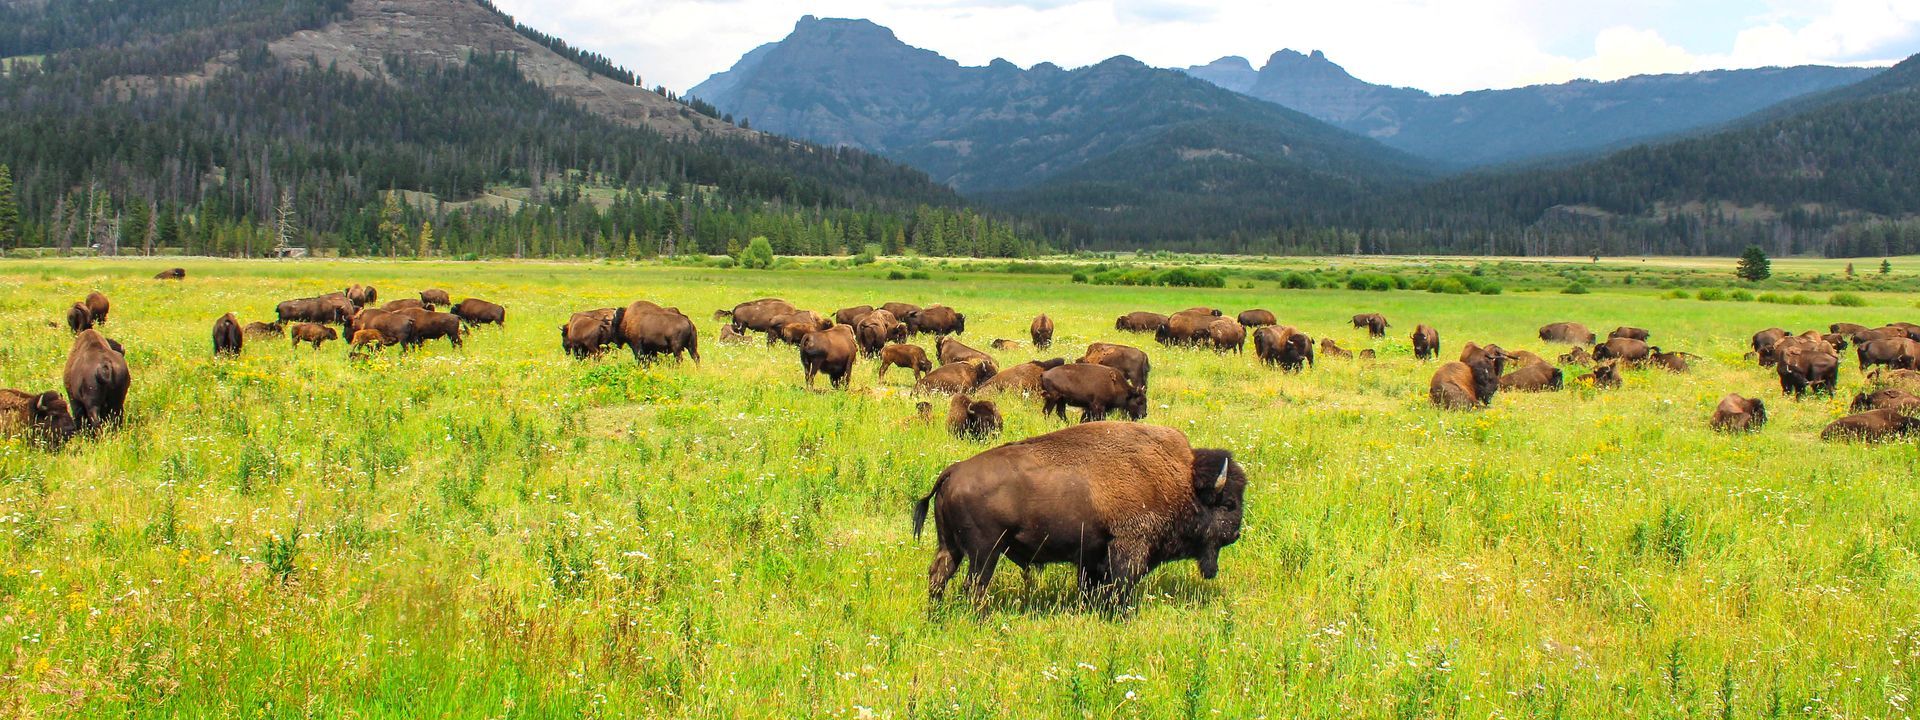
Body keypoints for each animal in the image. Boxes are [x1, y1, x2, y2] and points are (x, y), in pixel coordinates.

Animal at [912, 422, 1246, 607]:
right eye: (1228, 503)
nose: (1235, 534)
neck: (1179, 480)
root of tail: (953, 471)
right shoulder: (1128, 548)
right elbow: (1121, 587)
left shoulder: (1092, 556)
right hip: (985, 552)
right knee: (974, 586)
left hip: (951, 546)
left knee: (939, 575)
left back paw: (936, 613)